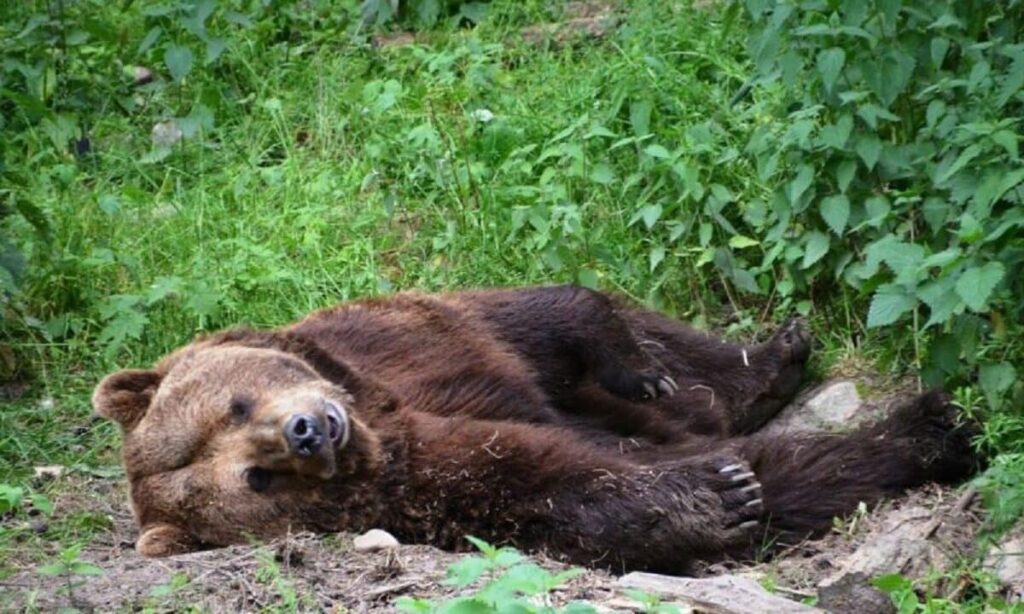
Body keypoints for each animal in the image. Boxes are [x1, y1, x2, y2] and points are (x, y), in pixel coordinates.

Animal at [92, 284, 978, 573]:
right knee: (787, 463)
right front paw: (718, 495)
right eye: (256, 477)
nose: (311, 430)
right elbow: (548, 480)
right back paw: (927, 428)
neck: (374, 411)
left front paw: (640, 366)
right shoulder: (426, 476)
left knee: (689, 366)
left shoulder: (405, 343)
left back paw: (776, 355)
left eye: (235, 405)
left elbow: (551, 317)